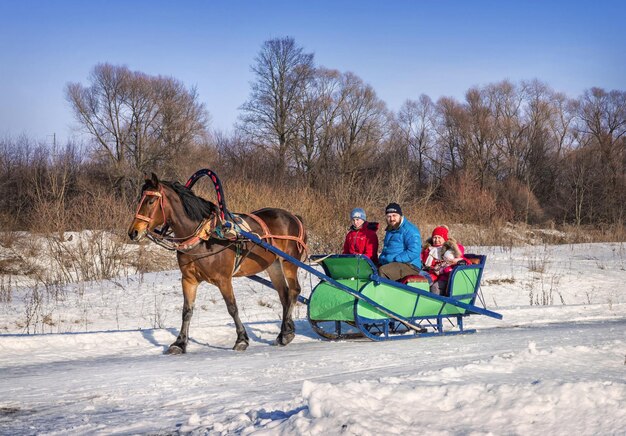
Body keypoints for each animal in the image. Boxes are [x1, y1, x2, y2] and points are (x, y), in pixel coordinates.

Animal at [125, 172, 306, 352]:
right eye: (140, 200)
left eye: (150, 201)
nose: (133, 232)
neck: (203, 237)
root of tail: (293, 216)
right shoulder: (188, 280)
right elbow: (187, 311)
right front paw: (180, 342)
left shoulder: (223, 279)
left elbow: (232, 307)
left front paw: (241, 339)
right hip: (273, 265)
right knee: (284, 295)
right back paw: (285, 331)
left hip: (289, 261)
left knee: (294, 291)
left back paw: (285, 334)